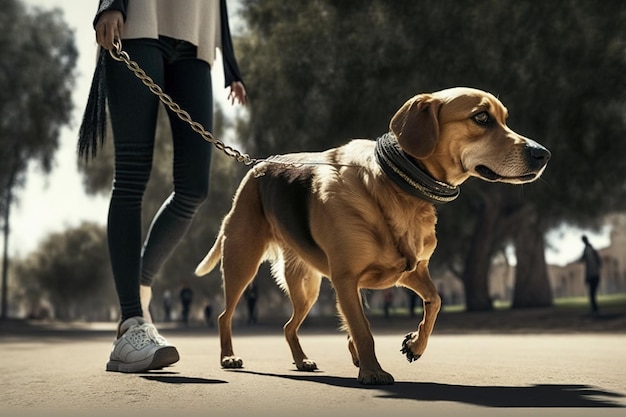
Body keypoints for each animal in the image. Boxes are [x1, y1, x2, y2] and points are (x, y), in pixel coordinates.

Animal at [194, 87, 544, 384]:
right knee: (224, 315)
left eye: (504, 118)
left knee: (288, 326)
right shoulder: (346, 280)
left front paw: (414, 345)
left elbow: (435, 301)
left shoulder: (410, 271)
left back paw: (302, 360)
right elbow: (363, 331)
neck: (394, 186)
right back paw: (228, 357)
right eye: (481, 117)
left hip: (306, 286)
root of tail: (258, 166)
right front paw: (373, 372)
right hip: (243, 265)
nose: (544, 154)